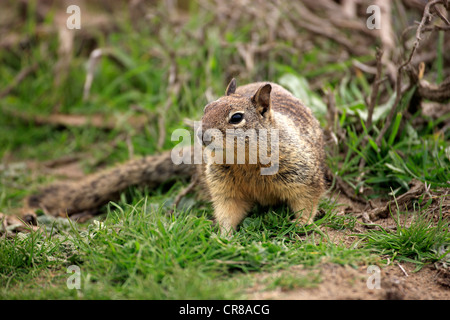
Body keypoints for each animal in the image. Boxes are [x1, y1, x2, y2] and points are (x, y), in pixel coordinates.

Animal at [26, 77, 326, 232]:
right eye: (206, 107)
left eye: (236, 118)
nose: (202, 136)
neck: (245, 160)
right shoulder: (224, 188)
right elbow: (228, 210)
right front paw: (223, 235)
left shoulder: (301, 174)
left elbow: (307, 199)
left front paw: (301, 224)